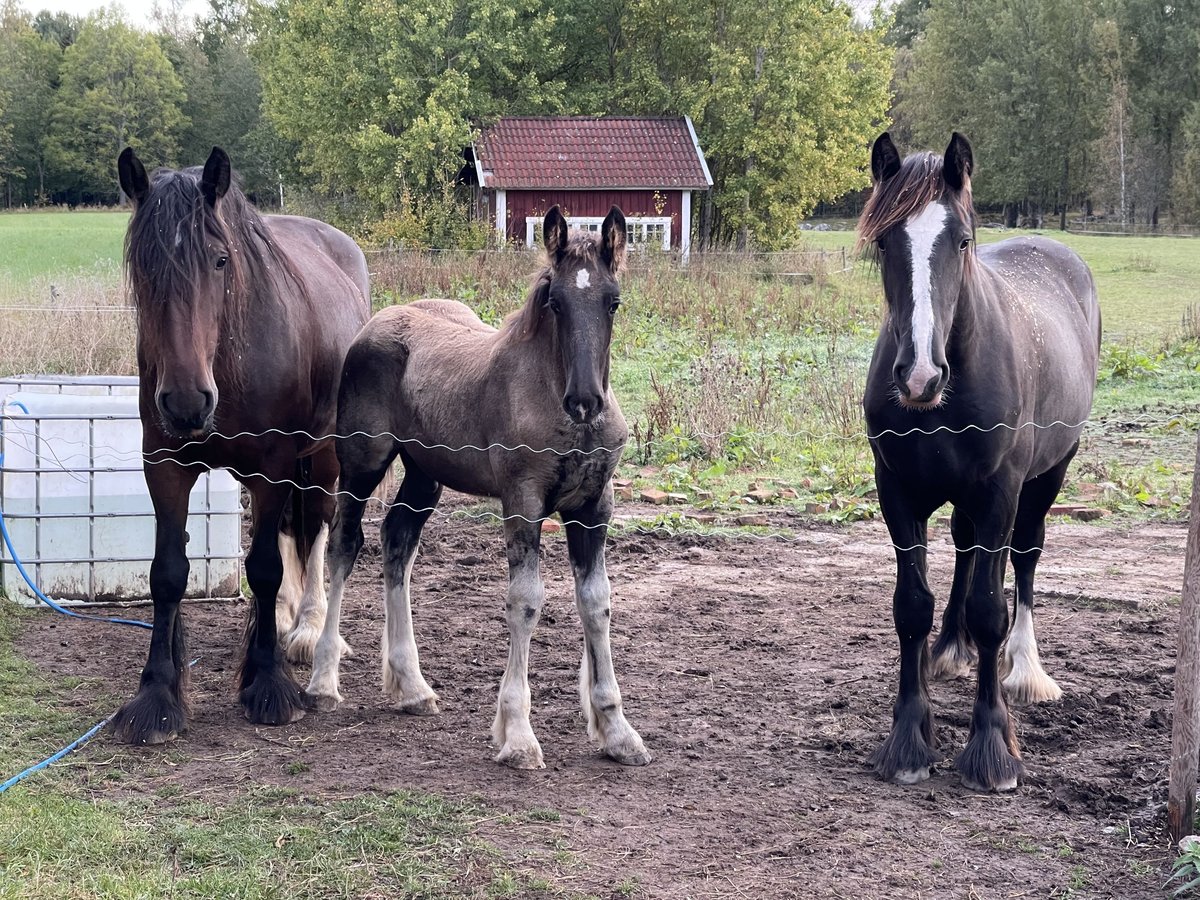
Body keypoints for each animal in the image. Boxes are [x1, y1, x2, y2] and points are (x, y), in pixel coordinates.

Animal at [118, 144, 369, 744]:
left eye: (219, 261)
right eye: (143, 265)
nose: (186, 401)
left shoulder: (275, 464)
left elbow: (265, 568)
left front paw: (268, 684)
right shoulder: (163, 466)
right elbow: (168, 574)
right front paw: (157, 694)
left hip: (323, 457)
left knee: (317, 526)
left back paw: (307, 629)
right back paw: (279, 619)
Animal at [304, 207, 652, 772]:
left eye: (613, 301)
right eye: (555, 301)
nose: (584, 401)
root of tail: (374, 323)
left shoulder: (594, 504)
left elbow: (596, 602)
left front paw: (616, 730)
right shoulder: (523, 501)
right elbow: (526, 601)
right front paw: (517, 735)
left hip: (424, 475)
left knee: (397, 542)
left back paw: (412, 688)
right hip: (362, 462)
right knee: (344, 544)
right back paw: (321, 680)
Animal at [859, 133, 1099, 796]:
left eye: (962, 240)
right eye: (884, 242)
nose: (919, 376)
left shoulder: (1000, 492)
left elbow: (992, 610)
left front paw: (992, 747)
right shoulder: (898, 492)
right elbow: (910, 607)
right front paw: (908, 738)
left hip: (1047, 477)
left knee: (1024, 560)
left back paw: (1027, 669)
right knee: (966, 553)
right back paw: (950, 648)